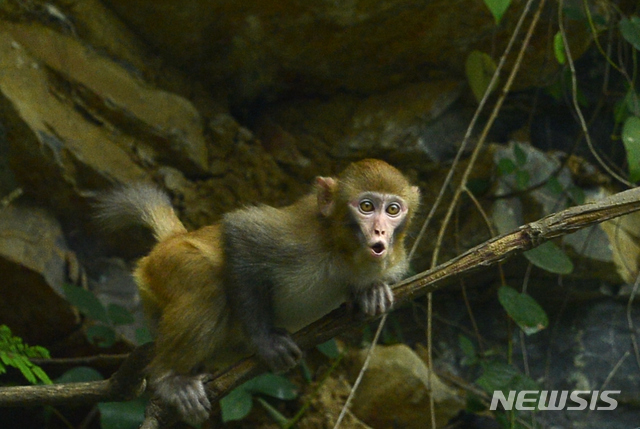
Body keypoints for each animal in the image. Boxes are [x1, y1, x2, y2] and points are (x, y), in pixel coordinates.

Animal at [96, 158, 420, 424]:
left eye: (393, 209)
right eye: (366, 206)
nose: (380, 232)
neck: (342, 251)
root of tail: (173, 239)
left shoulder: (392, 259)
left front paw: (370, 291)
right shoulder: (298, 240)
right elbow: (239, 234)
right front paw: (265, 341)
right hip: (166, 265)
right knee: (207, 281)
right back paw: (168, 377)